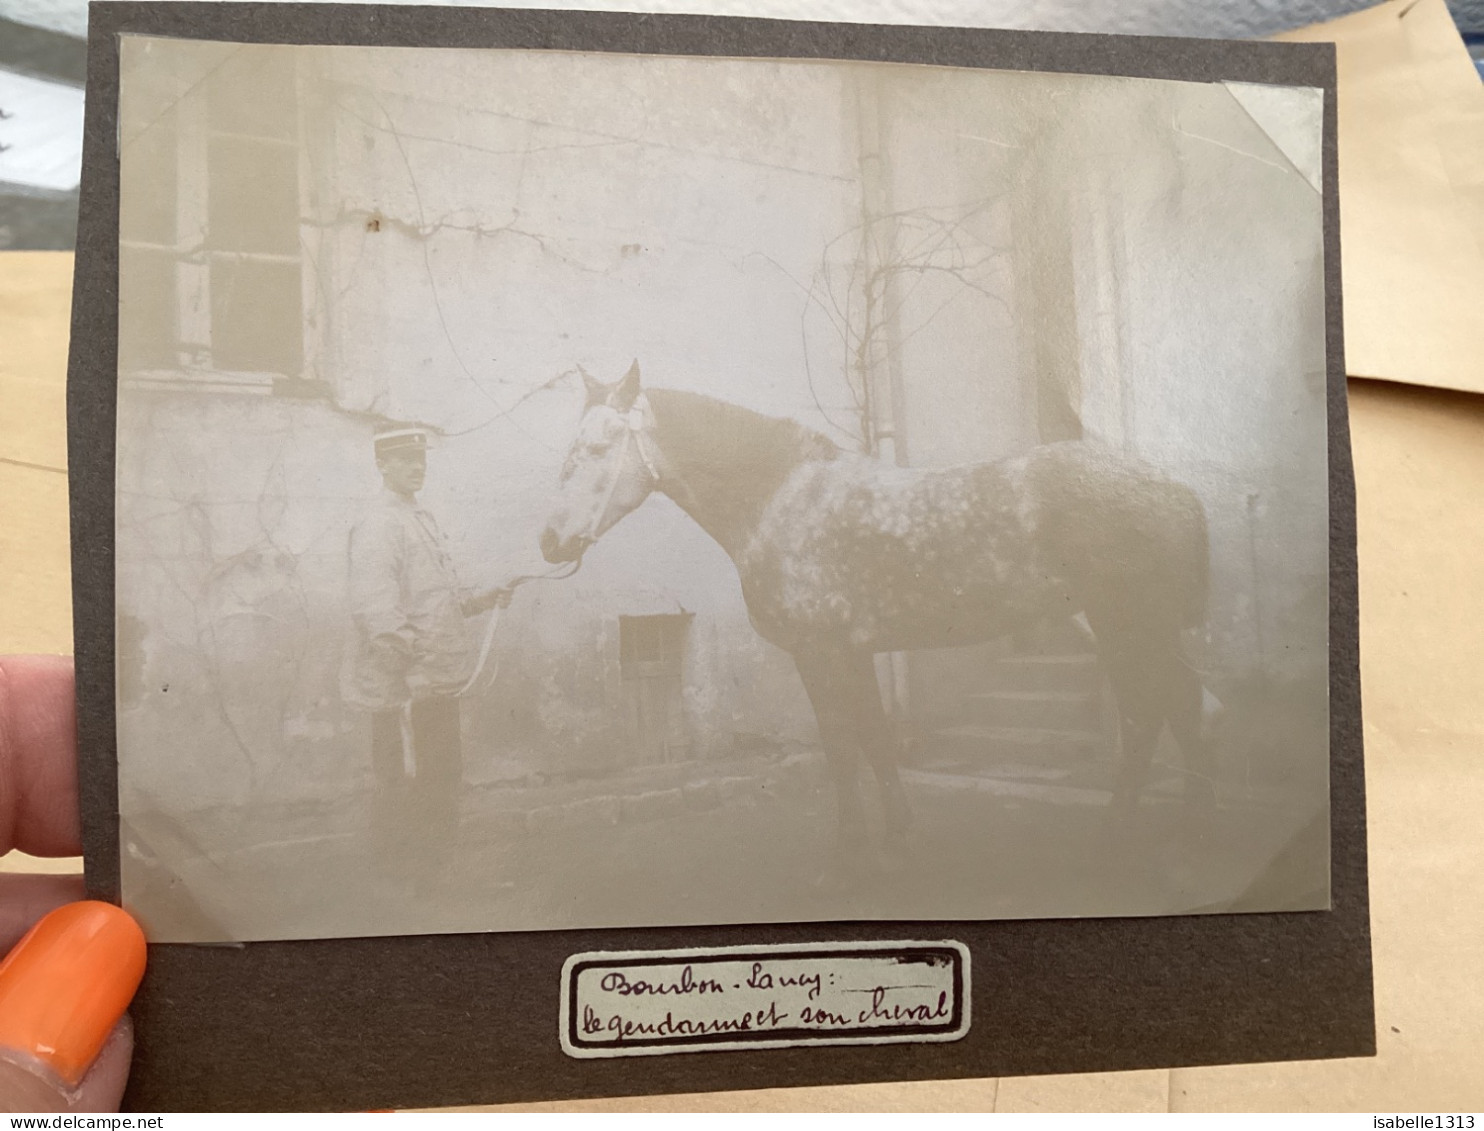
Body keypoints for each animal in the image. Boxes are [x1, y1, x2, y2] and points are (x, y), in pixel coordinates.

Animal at [540, 360, 1210, 872]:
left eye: (596, 448)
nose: (551, 543)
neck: (780, 499)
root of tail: (1172, 487)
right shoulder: (854, 651)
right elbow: (876, 739)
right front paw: (899, 836)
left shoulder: (820, 653)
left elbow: (842, 746)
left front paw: (851, 853)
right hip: (1125, 629)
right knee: (1164, 707)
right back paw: (1155, 826)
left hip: (1131, 626)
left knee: (1161, 709)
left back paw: (1157, 832)